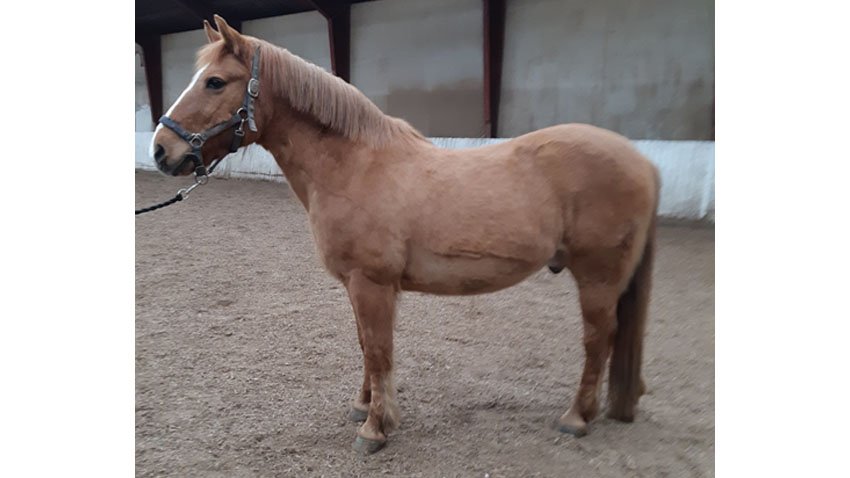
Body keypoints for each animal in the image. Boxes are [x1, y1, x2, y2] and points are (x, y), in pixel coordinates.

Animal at [149, 15, 659, 455]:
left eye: (215, 81)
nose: (160, 150)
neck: (356, 165)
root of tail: (642, 161)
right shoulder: (357, 285)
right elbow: (364, 345)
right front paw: (363, 408)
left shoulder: (371, 283)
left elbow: (378, 350)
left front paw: (376, 428)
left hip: (596, 278)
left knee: (598, 339)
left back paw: (576, 417)